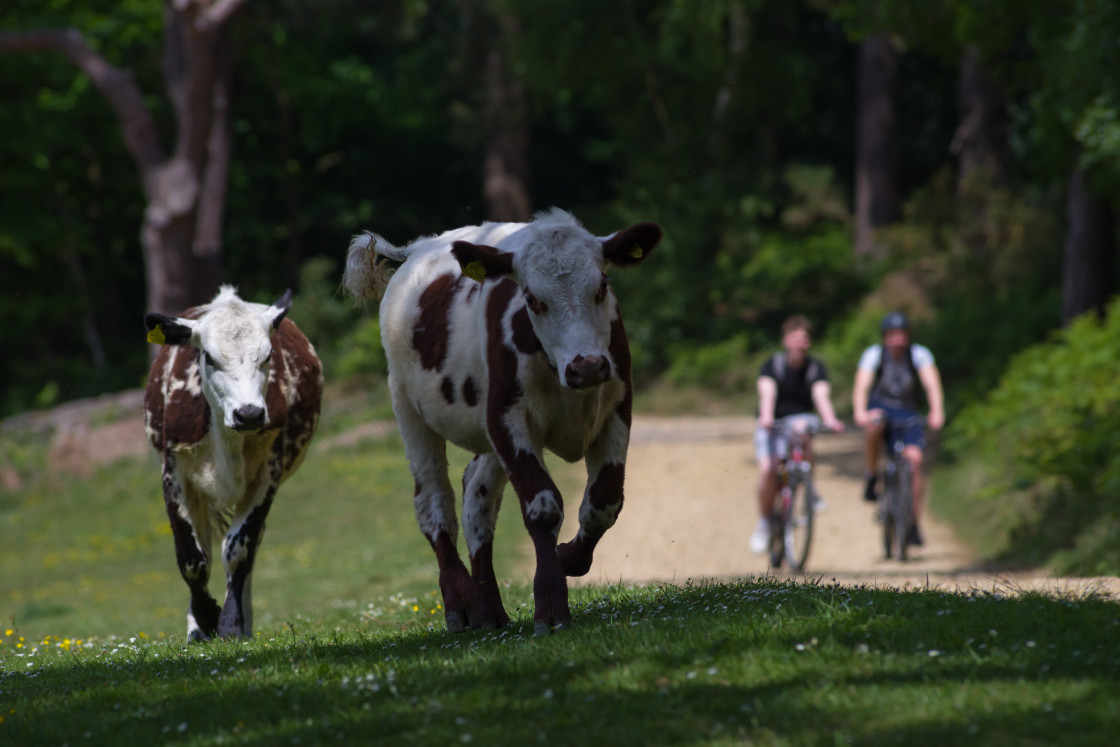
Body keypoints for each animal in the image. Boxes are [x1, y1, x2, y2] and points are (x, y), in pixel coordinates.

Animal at [142, 286, 322, 645]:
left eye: (267, 356)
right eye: (209, 357)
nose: (249, 413)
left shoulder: (268, 477)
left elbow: (239, 550)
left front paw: (230, 622)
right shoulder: (174, 476)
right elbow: (192, 558)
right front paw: (205, 617)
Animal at [340, 207, 654, 636]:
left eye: (602, 287)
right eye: (533, 299)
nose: (587, 366)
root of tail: (421, 246)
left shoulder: (618, 407)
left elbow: (604, 501)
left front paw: (568, 558)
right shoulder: (508, 418)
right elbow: (543, 505)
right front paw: (550, 605)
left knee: (477, 495)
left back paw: (490, 609)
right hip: (407, 407)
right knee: (434, 502)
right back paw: (462, 602)